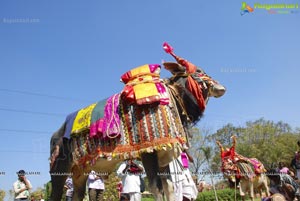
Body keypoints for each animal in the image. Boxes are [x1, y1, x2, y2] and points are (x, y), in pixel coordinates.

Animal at [50, 42, 226, 201]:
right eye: (199, 71)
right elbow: (157, 188)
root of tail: (57, 133)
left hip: (81, 172)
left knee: (78, 195)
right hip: (59, 170)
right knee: (55, 194)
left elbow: (168, 188)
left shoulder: (164, 154)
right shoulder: (149, 152)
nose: (221, 87)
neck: (173, 98)